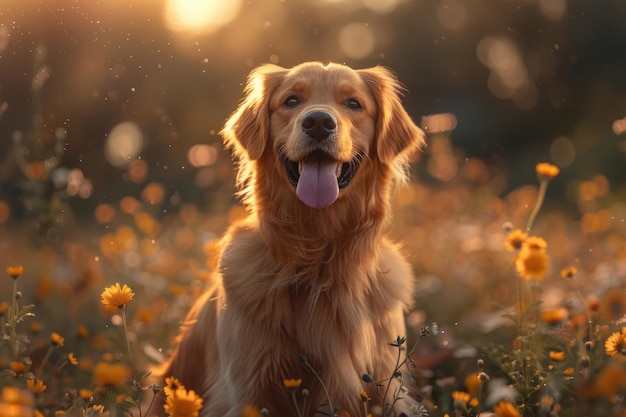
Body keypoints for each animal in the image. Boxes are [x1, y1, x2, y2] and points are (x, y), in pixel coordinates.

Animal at [158, 61, 426, 416]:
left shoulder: (385, 385)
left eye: (353, 103)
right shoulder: (246, 390)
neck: (317, 262)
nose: (318, 122)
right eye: (291, 101)